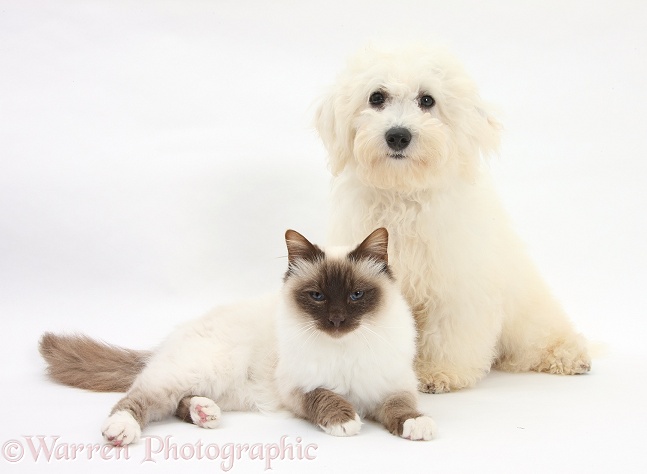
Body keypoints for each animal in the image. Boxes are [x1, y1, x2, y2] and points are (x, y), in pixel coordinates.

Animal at [39, 229, 436, 444]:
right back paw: (120, 432)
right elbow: (326, 397)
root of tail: (170, 339)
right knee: (140, 399)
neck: (345, 348)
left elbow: (401, 408)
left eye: (356, 296)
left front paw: (418, 426)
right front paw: (346, 421)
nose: (336, 320)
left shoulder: (392, 386)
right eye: (317, 296)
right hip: (195, 371)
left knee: (178, 402)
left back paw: (204, 413)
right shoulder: (297, 389)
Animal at [316, 44, 592, 392]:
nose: (398, 136)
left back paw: (568, 355)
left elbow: (448, 332)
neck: (403, 195)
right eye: (376, 97)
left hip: (528, 311)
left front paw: (439, 372)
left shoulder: (455, 284)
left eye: (427, 100)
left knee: (541, 336)